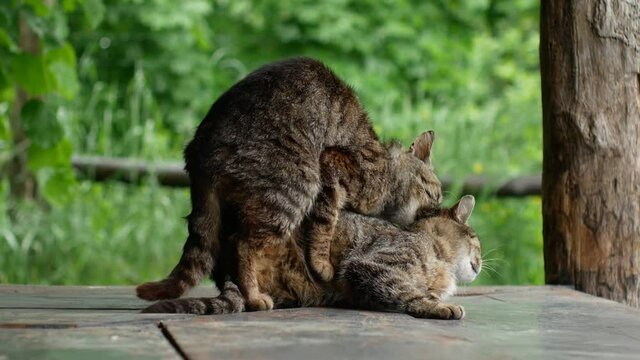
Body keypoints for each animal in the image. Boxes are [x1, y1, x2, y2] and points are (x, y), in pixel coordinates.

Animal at [137, 57, 442, 310]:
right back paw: (254, 297)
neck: (387, 171)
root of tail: (198, 150)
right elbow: (324, 224)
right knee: (242, 243)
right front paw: (321, 265)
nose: (437, 209)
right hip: (296, 186)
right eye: (435, 194)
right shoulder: (332, 166)